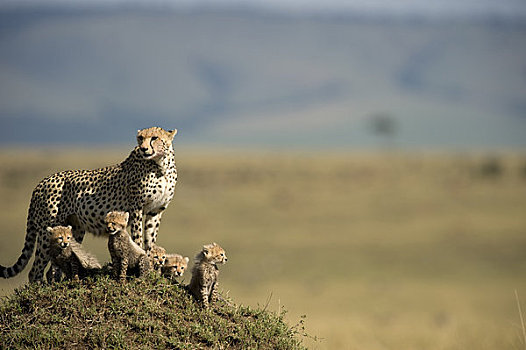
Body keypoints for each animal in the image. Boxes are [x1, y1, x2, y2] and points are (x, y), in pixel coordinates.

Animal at [0, 127, 178, 284]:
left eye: (154, 138)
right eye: (140, 138)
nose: (143, 149)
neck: (160, 165)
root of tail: (41, 183)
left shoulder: (155, 211)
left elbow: (150, 239)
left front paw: (152, 264)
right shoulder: (136, 208)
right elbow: (138, 238)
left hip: (73, 230)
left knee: (54, 266)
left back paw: (57, 283)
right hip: (47, 230)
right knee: (35, 270)